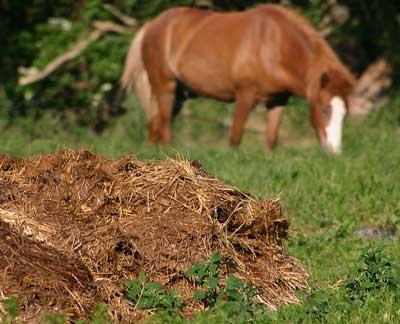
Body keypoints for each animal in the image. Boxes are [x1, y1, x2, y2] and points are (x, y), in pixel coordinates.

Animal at [120, 3, 354, 153]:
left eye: (345, 114)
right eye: (324, 109)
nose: (334, 151)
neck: (274, 44)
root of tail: (151, 25)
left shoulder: (278, 100)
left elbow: (271, 139)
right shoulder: (245, 96)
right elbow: (235, 137)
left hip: (179, 94)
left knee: (155, 125)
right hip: (165, 87)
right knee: (165, 124)